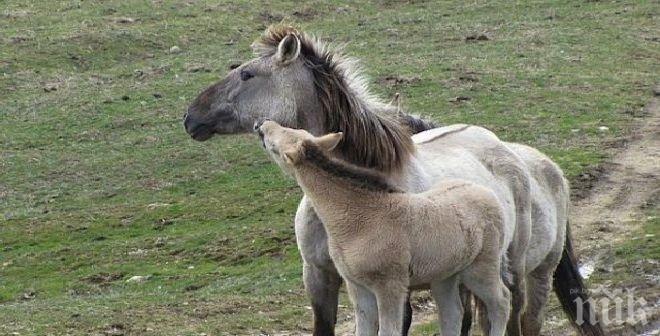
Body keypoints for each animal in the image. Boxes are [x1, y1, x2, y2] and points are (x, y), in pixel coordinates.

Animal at [182, 25, 604, 336]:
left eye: (247, 74)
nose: (190, 117)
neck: (344, 202)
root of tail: (518, 156)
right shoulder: (321, 278)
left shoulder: (394, 285)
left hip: (518, 271)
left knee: (516, 318)